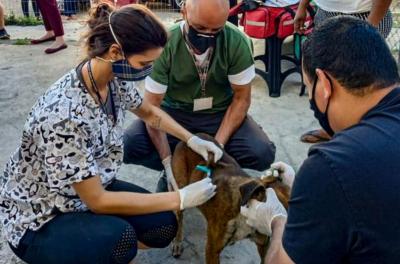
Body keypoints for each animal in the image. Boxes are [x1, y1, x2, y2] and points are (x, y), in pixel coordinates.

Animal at [170, 134, 290, 264]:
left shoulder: (264, 245)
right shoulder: (212, 250)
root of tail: (193, 135)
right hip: (180, 188)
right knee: (179, 217)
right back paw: (177, 241)